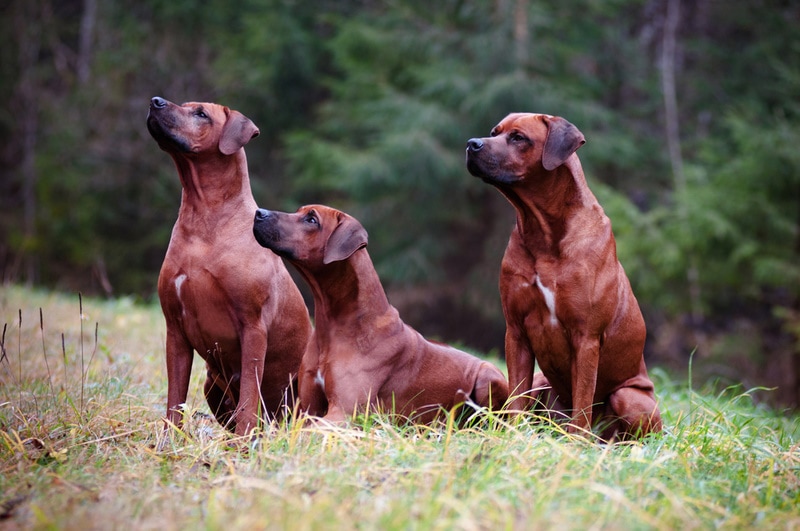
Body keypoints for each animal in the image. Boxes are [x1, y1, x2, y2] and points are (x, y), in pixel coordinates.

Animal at [148, 96, 310, 436]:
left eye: (201, 114)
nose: (155, 101)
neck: (204, 216)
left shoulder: (253, 327)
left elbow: (249, 394)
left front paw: (247, 439)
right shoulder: (174, 329)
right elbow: (174, 398)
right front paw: (170, 439)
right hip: (211, 382)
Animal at [253, 204, 510, 424]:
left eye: (312, 219)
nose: (258, 213)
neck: (336, 325)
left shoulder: (346, 412)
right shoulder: (306, 408)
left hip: (487, 376)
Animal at [462, 112, 664, 440]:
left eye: (518, 137)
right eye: (495, 132)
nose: (471, 144)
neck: (544, 233)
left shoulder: (587, 337)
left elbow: (583, 399)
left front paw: (575, 442)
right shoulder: (516, 331)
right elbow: (516, 396)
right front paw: (514, 435)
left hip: (630, 397)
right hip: (542, 381)